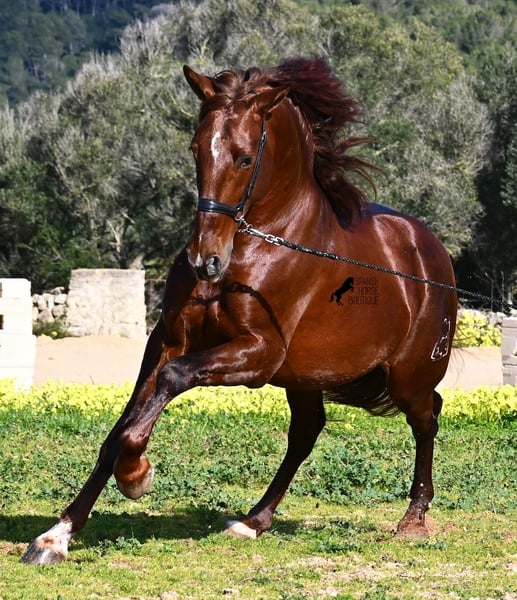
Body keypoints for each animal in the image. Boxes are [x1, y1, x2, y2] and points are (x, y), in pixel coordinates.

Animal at [22, 56, 457, 564]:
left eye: (245, 157)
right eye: (195, 150)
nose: (204, 260)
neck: (261, 246)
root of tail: (431, 253)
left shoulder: (257, 353)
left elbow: (170, 385)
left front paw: (137, 475)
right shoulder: (167, 341)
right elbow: (119, 429)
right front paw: (57, 535)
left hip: (408, 376)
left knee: (427, 418)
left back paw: (413, 519)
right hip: (305, 377)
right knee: (307, 431)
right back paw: (253, 521)